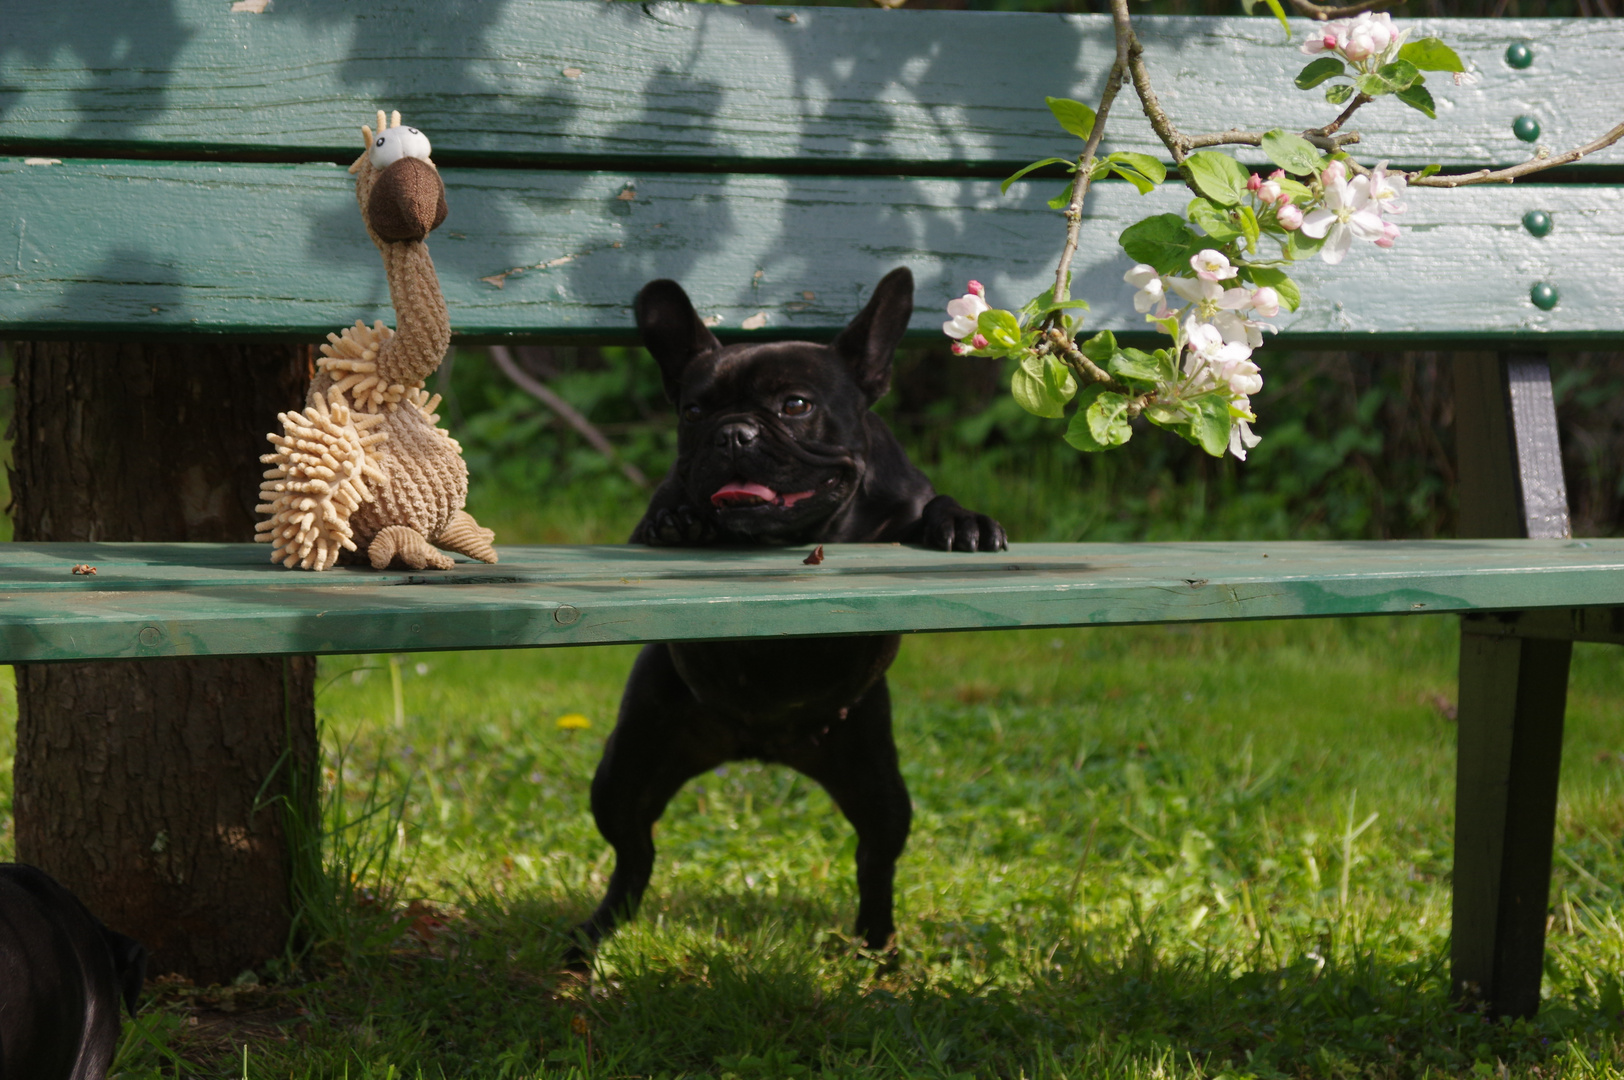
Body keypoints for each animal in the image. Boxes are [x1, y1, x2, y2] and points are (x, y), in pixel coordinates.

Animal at [571, 267, 1000, 954]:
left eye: (795, 406)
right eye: (693, 412)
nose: (732, 433)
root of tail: (759, 746)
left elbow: (935, 507)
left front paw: (964, 521)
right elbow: (663, 517)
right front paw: (680, 521)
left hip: (878, 785)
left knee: (875, 859)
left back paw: (877, 949)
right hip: (627, 769)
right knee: (634, 851)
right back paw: (596, 937)